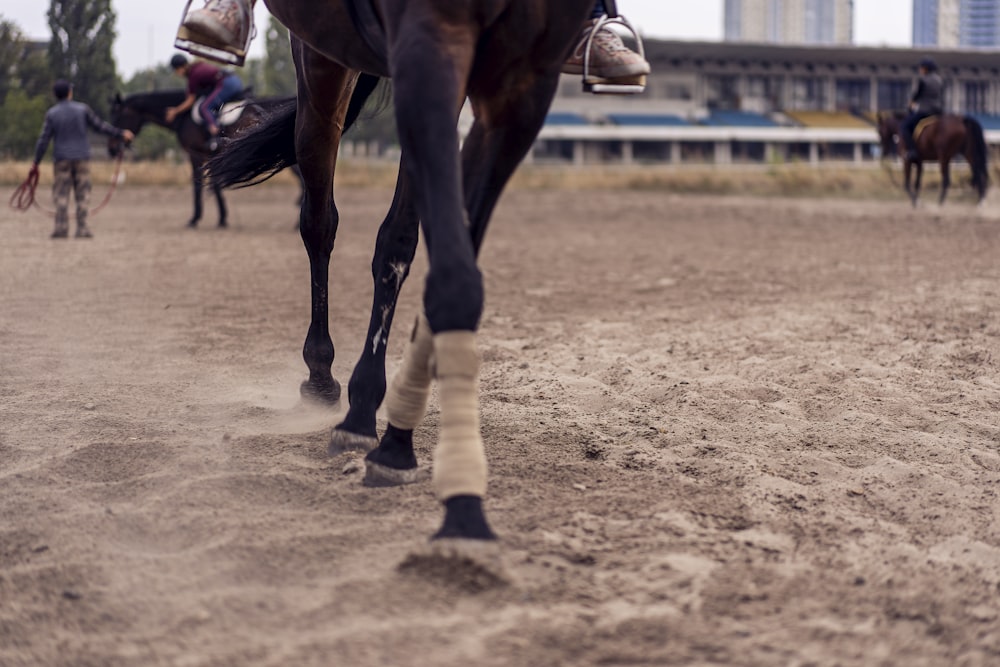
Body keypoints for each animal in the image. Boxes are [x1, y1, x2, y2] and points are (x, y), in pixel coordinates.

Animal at [210, 0, 596, 568]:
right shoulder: (427, 48)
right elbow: (445, 273)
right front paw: (456, 500)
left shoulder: (522, 82)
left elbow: (423, 248)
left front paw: (396, 434)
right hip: (321, 63)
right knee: (319, 220)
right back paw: (321, 374)